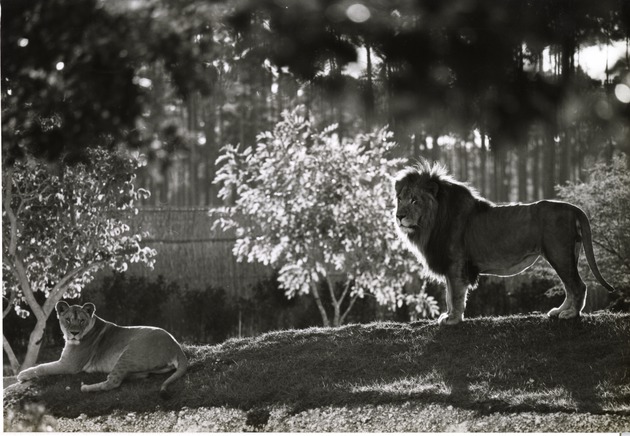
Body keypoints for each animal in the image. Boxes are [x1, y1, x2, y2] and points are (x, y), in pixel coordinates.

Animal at [17, 302, 188, 396]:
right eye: (68, 320)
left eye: (81, 320)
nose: (74, 333)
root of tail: (176, 345)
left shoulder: (69, 365)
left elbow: (42, 367)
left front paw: (22, 374)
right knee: (137, 376)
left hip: (129, 352)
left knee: (113, 382)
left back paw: (86, 387)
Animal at [396, 162, 616, 326]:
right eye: (399, 199)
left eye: (414, 200)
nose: (399, 216)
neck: (431, 224)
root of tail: (573, 208)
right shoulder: (453, 266)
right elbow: (449, 293)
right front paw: (448, 316)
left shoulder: (456, 264)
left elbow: (455, 295)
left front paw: (453, 319)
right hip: (566, 255)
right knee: (570, 287)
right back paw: (559, 311)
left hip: (559, 253)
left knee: (578, 286)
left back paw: (571, 315)